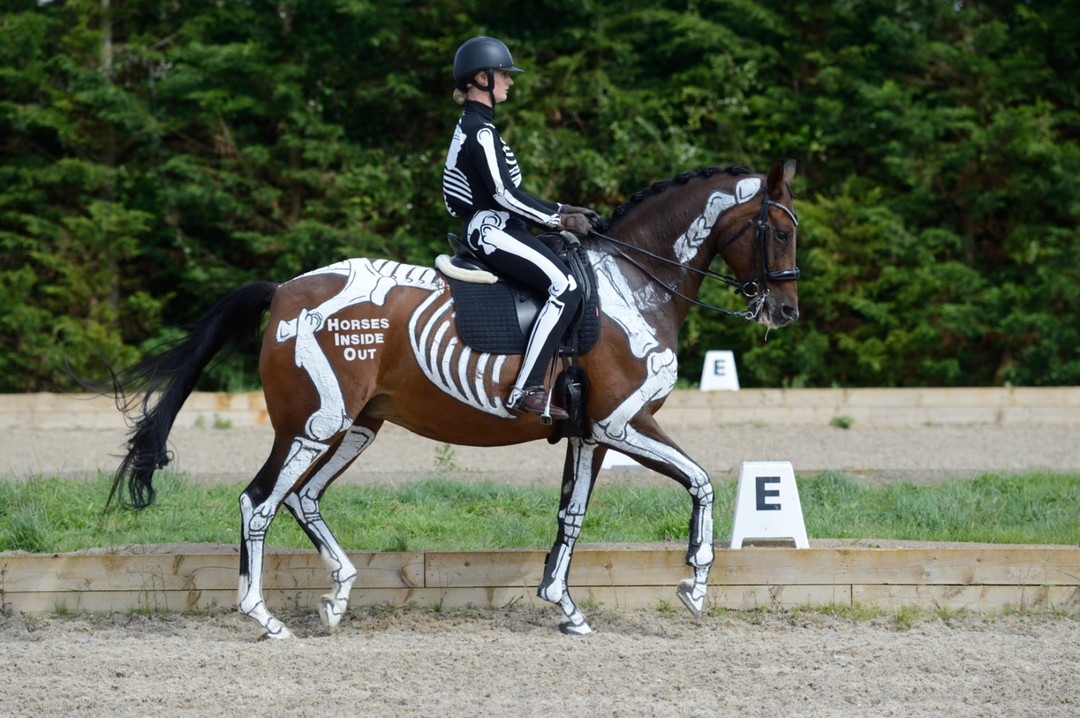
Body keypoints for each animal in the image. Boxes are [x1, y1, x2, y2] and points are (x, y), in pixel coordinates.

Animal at [106, 160, 800, 638]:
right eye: (778, 232)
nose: (786, 312)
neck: (631, 285)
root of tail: (283, 291)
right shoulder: (623, 423)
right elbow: (701, 481)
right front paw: (695, 586)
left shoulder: (589, 434)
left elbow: (571, 516)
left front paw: (566, 608)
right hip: (313, 424)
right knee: (260, 501)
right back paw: (265, 618)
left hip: (355, 428)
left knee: (302, 498)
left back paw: (337, 597)